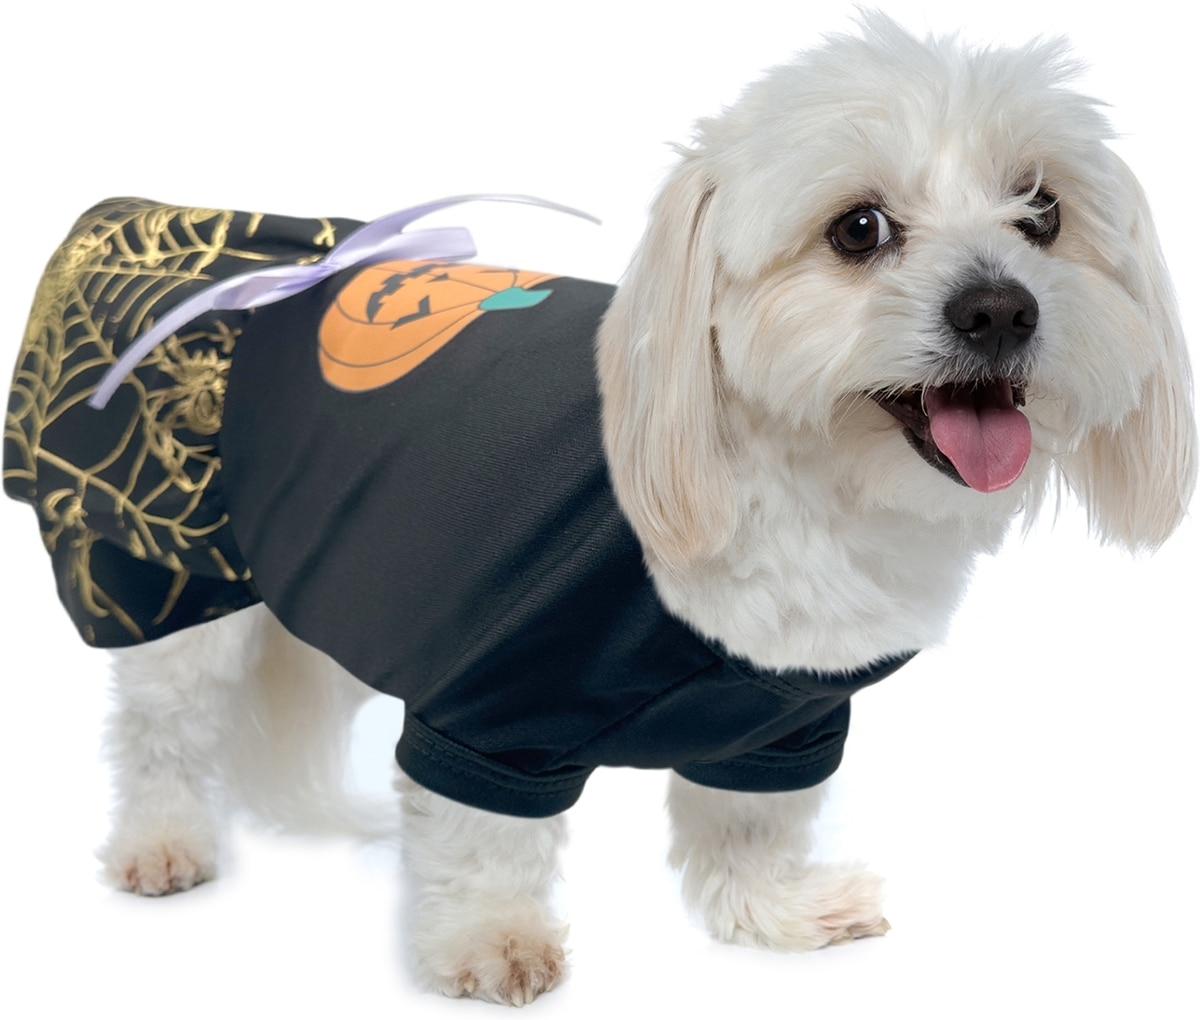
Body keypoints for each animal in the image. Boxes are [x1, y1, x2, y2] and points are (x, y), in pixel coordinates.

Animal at [3, 12, 1194, 1007]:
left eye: (1043, 211)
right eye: (858, 229)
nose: (1000, 309)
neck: (794, 482)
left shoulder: (784, 717)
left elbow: (747, 825)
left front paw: (773, 912)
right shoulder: (490, 698)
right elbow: (486, 836)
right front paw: (490, 943)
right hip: (168, 573)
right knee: (162, 726)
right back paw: (161, 841)